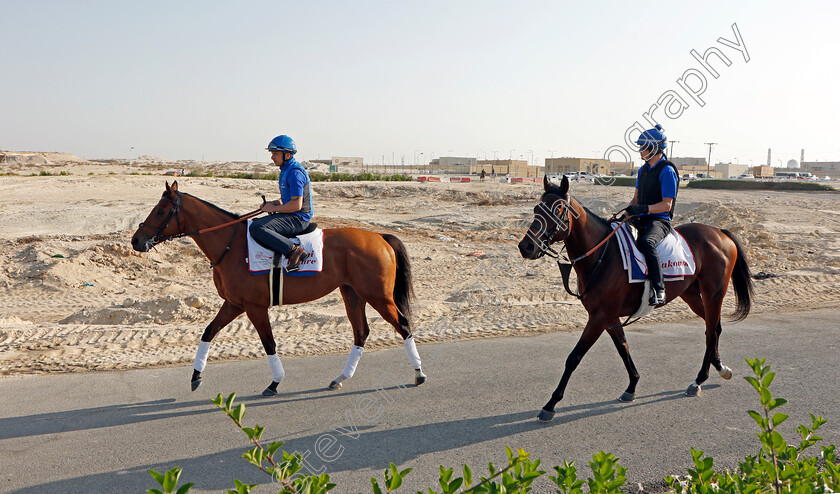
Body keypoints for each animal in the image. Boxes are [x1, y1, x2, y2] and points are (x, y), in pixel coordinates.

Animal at [130, 183, 426, 396]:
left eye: (160, 211)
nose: (136, 240)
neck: (231, 245)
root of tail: (379, 237)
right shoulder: (234, 304)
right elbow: (208, 332)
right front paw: (196, 375)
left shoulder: (254, 307)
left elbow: (269, 343)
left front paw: (275, 383)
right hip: (352, 294)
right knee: (361, 333)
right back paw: (340, 378)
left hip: (378, 296)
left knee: (403, 324)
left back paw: (419, 373)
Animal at [516, 177, 752, 420]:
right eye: (536, 209)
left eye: (558, 209)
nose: (527, 246)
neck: (602, 255)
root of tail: (719, 233)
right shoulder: (608, 317)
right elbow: (623, 348)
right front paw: (632, 386)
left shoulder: (599, 317)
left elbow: (574, 357)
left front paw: (551, 403)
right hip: (692, 294)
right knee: (713, 327)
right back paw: (717, 368)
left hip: (713, 293)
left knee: (711, 331)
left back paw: (700, 379)